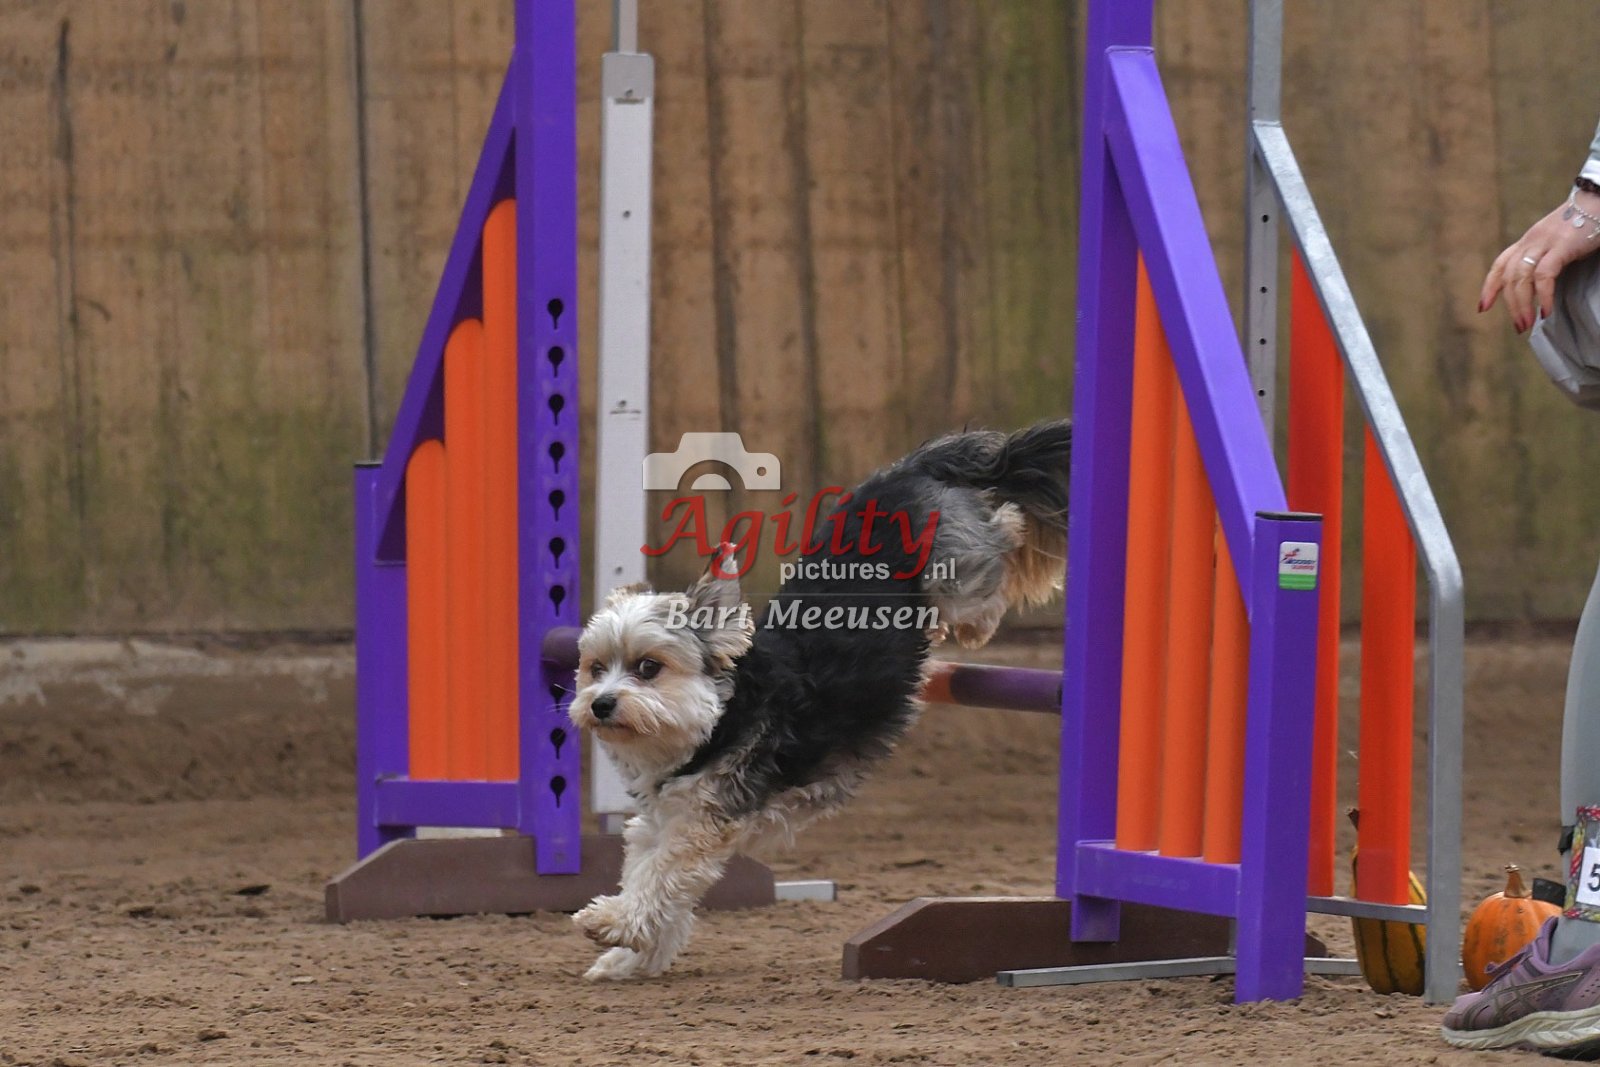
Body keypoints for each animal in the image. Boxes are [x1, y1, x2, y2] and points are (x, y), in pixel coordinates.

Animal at [566, 419, 1070, 980]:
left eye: (648, 668)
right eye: (595, 669)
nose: (600, 704)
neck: (719, 722)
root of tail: (909, 469)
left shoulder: (699, 825)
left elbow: (658, 878)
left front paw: (608, 921)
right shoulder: (663, 822)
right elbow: (654, 882)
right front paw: (630, 956)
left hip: (957, 566)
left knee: (1004, 533)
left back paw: (981, 613)